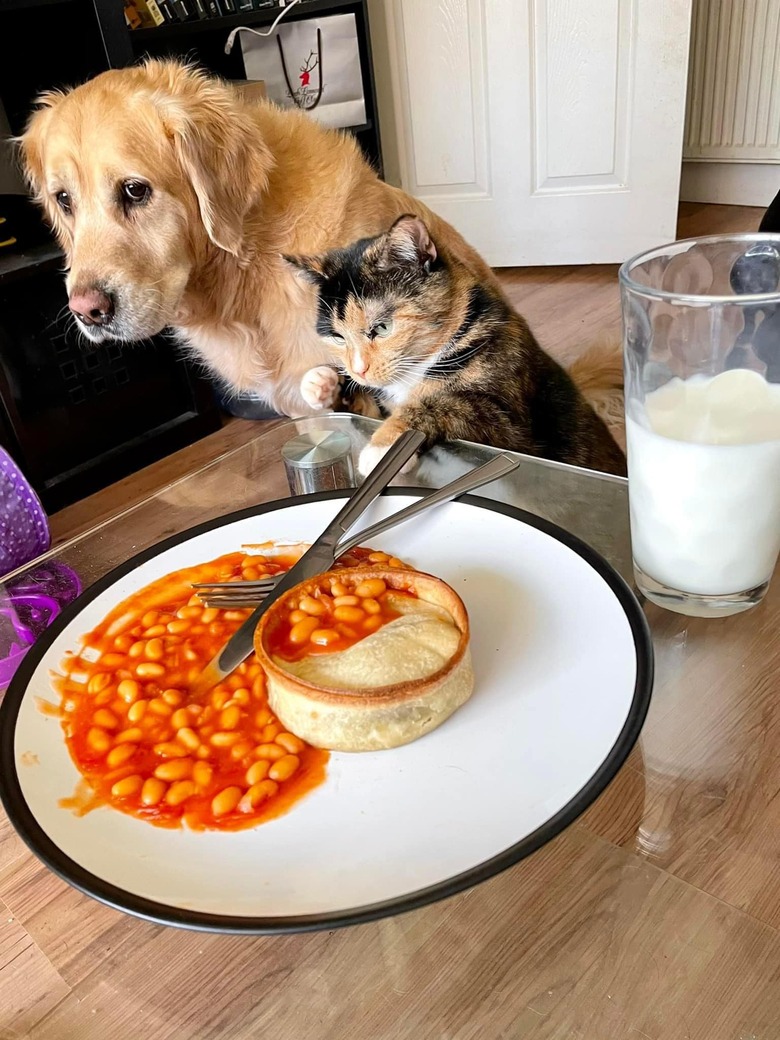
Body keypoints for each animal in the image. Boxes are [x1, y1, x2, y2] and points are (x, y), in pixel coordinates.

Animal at [289, 221, 628, 480]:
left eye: (382, 327)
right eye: (337, 336)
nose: (358, 370)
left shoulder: (509, 425)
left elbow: (441, 402)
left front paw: (382, 448)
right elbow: (360, 411)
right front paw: (321, 382)